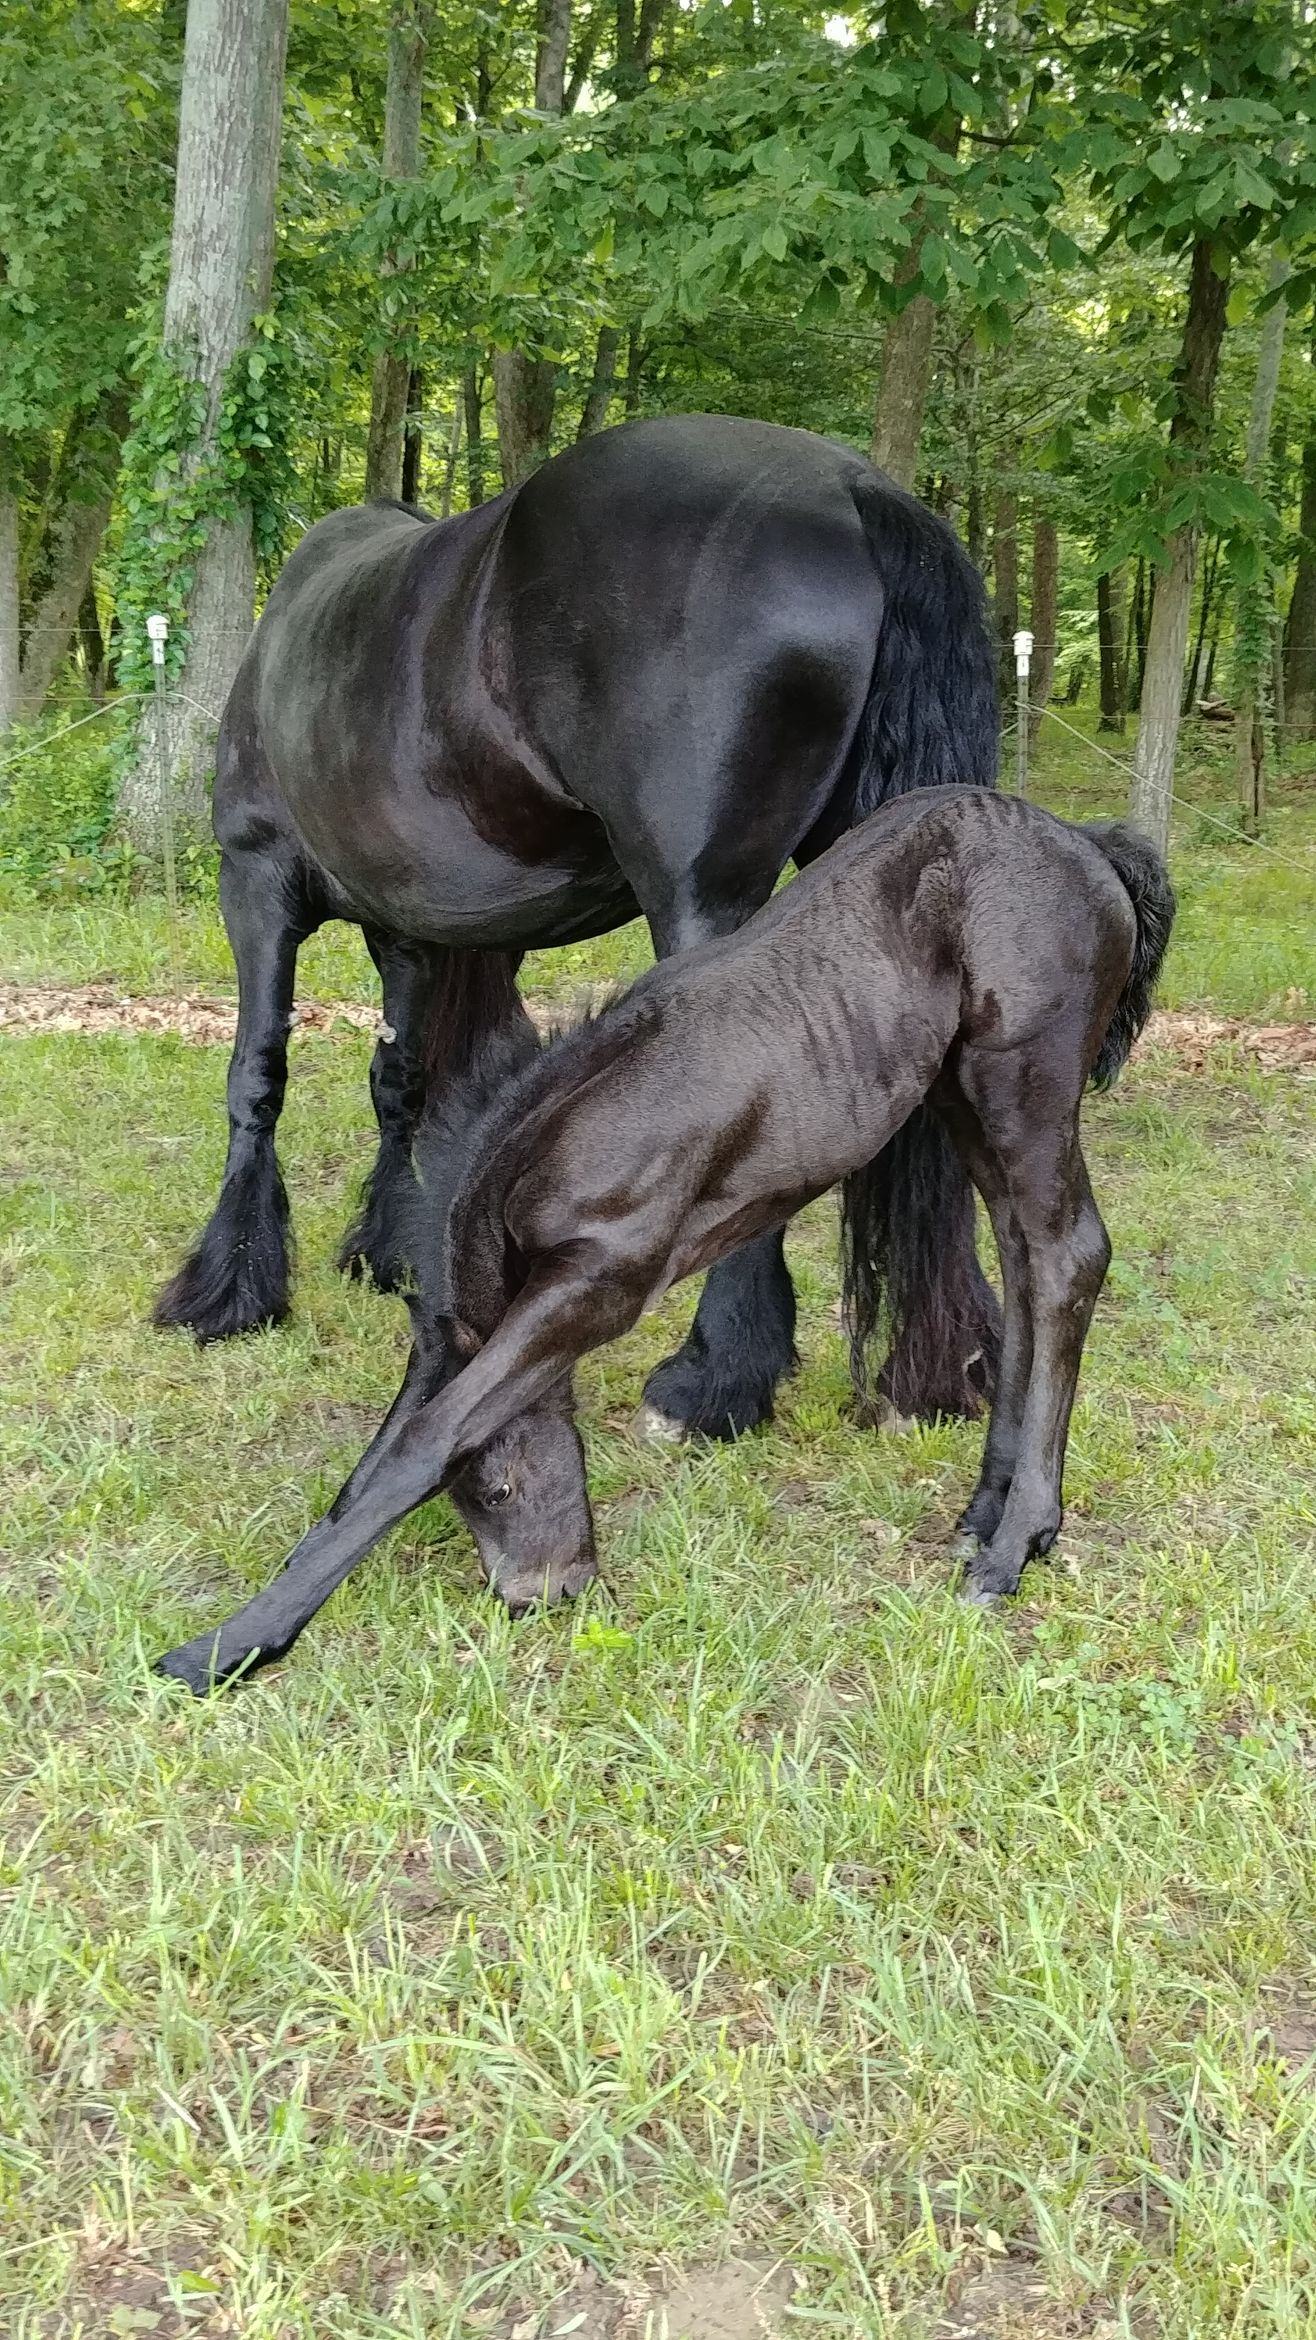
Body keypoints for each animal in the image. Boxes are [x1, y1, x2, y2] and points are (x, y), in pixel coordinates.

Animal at [151, 412, 1002, 1441]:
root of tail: (849, 487)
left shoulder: (257, 881)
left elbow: (256, 1078)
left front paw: (229, 1286)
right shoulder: (408, 928)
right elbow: (398, 1083)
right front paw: (387, 1247)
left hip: (705, 909)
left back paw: (716, 1377)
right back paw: (945, 1364)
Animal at [156, 788, 1175, 1695]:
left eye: (492, 1490)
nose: (545, 1594)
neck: (568, 1136)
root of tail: (1087, 844)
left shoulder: (597, 1284)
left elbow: (421, 1442)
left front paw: (227, 1648)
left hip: (1024, 1079)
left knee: (1068, 1256)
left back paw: (1013, 1548)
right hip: (964, 1093)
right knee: (1023, 1255)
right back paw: (984, 1512)